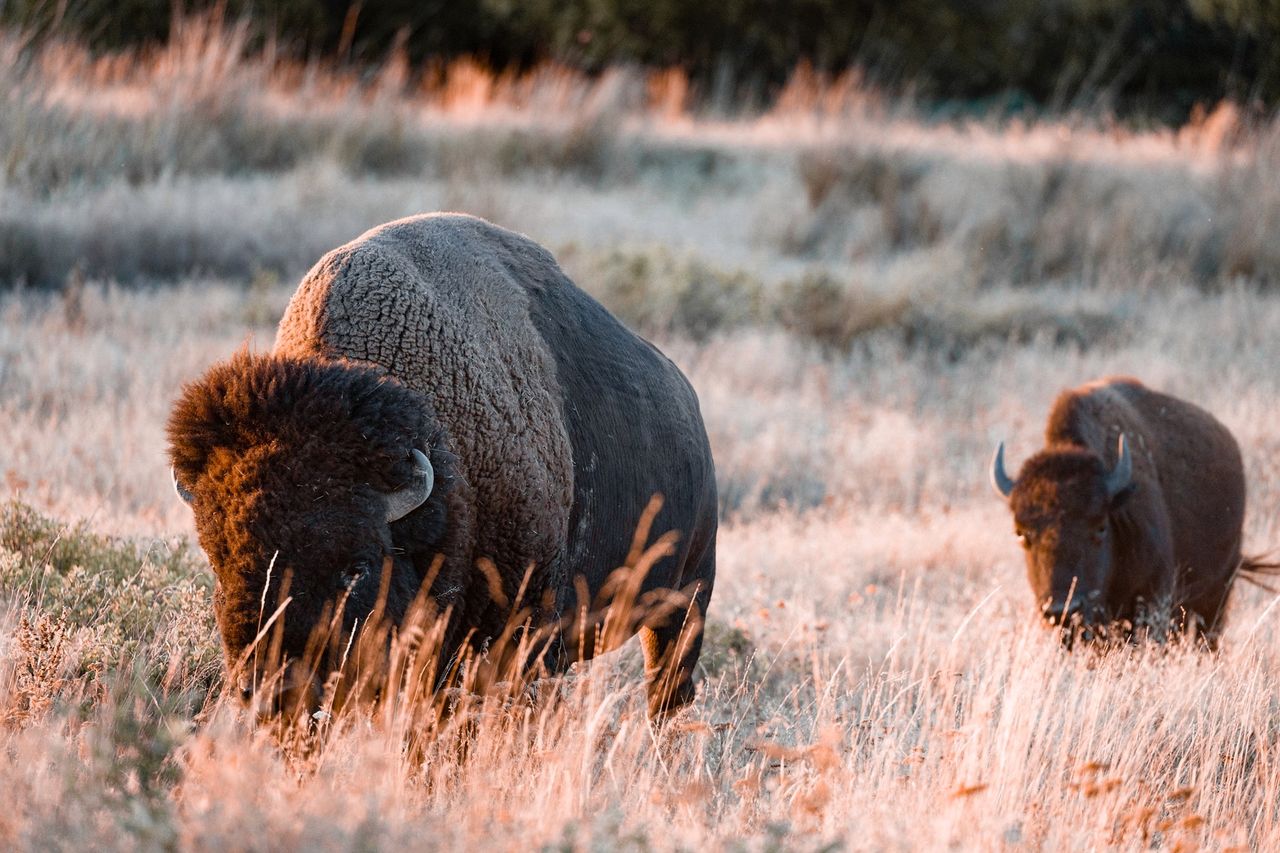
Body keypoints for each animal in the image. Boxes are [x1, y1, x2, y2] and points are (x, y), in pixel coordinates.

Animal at [167, 212, 721, 717]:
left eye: (357, 567)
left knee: (668, 687)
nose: (272, 691)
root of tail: (688, 401)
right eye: (218, 559)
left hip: (687, 599)